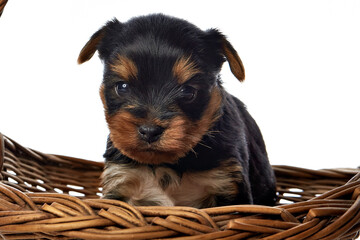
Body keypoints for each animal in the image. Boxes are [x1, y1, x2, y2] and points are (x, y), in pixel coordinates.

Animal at [78, 13, 276, 208]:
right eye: (122, 87)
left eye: (188, 92)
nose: (150, 131)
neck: (169, 164)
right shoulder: (121, 181)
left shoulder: (227, 187)